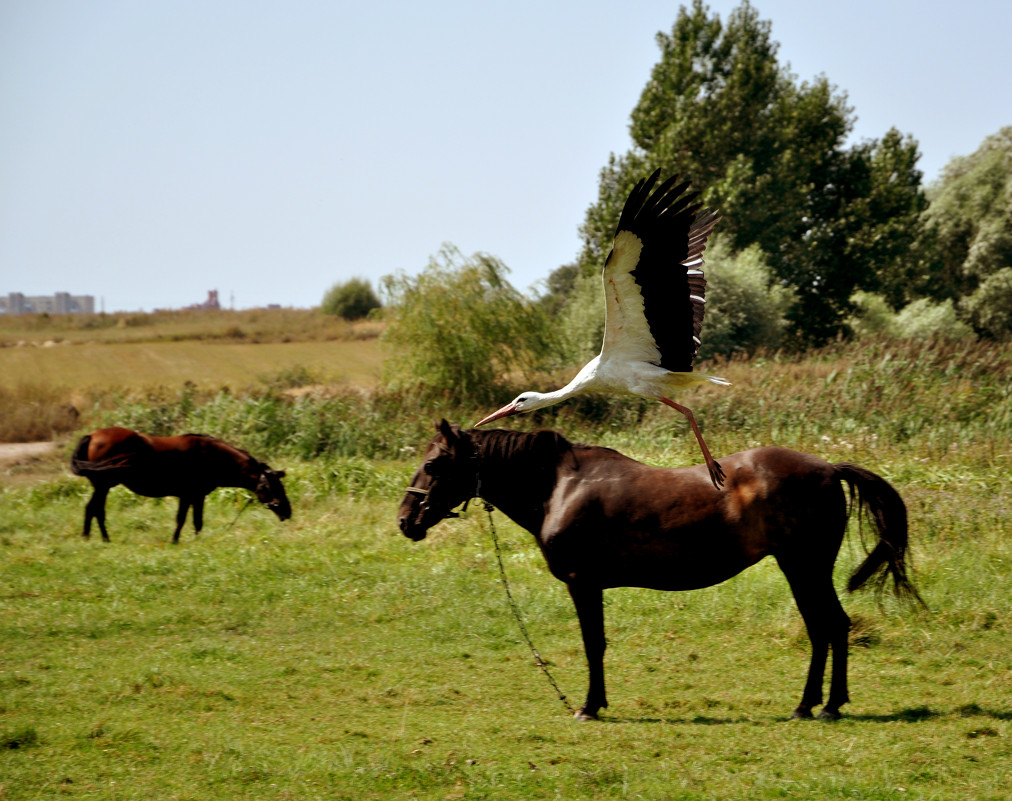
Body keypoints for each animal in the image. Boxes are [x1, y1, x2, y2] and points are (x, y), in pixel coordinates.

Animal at [70, 424, 293, 546]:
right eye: (271, 487)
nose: (287, 512)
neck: (211, 456)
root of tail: (92, 436)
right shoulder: (190, 495)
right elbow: (184, 520)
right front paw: (177, 541)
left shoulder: (194, 496)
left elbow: (195, 521)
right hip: (103, 486)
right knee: (96, 510)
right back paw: (100, 538)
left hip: (102, 486)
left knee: (92, 509)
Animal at [398, 422, 922, 724]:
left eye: (433, 463)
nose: (406, 520)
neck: (558, 487)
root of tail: (829, 468)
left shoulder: (583, 583)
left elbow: (593, 644)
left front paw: (590, 706)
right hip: (803, 569)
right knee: (825, 628)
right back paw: (814, 703)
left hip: (804, 567)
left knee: (829, 626)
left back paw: (824, 706)